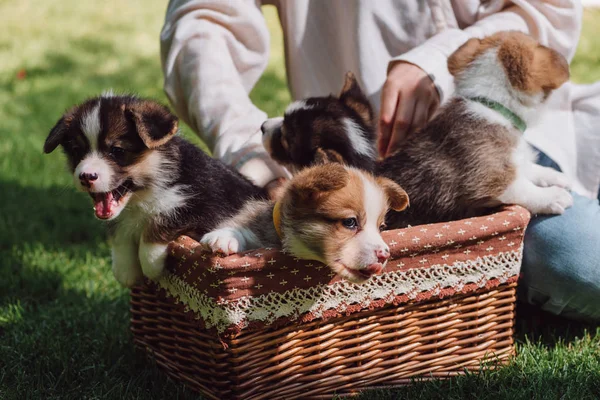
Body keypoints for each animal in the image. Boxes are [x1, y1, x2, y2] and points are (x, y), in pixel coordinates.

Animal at [44, 94, 264, 288]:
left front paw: (151, 265)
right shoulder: (120, 220)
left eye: (117, 151)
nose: (86, 176)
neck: (143, 194)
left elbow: (156, 224)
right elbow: (120, 237)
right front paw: (124, 271)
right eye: (77, 151)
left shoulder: (202, 207)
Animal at [262, 31, 572, 228]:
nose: (263, 125)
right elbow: (522, 188)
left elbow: (531, 169)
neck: (488, 103)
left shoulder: (513, 161)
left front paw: (558, 177)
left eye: (286, 138)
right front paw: (554, 197)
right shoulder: (488, 178)